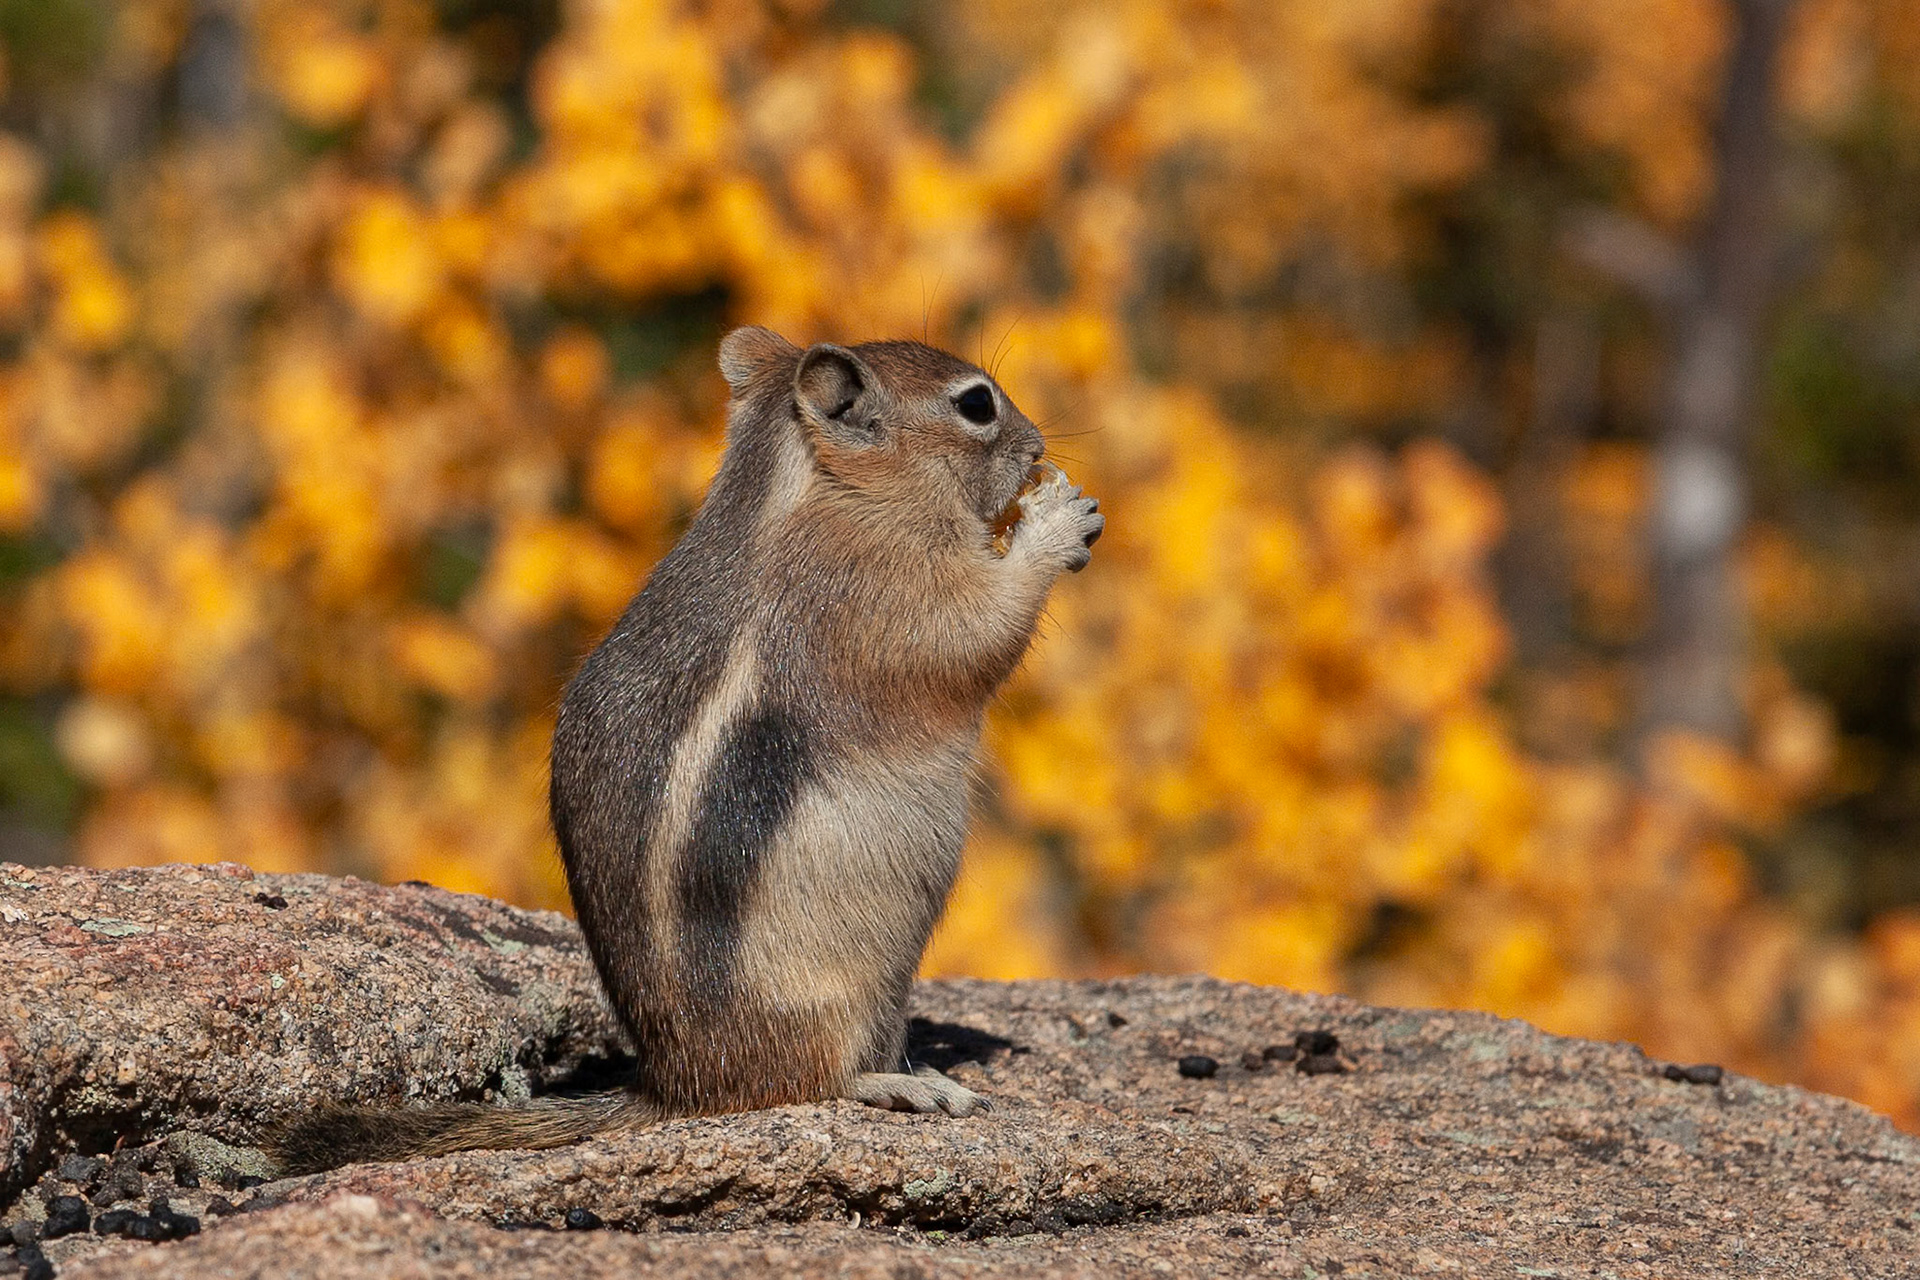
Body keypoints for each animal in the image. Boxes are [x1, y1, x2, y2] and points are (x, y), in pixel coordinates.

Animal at [272, 328, 1102, 1172]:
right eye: (976, 405)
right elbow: (976, 631)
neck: (811, 490)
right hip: (831, 997)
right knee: (805, 1079)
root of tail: (679, 1083)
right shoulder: (878, 594)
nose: (1038, 446)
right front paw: (1058, 521)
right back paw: (903, 1085)